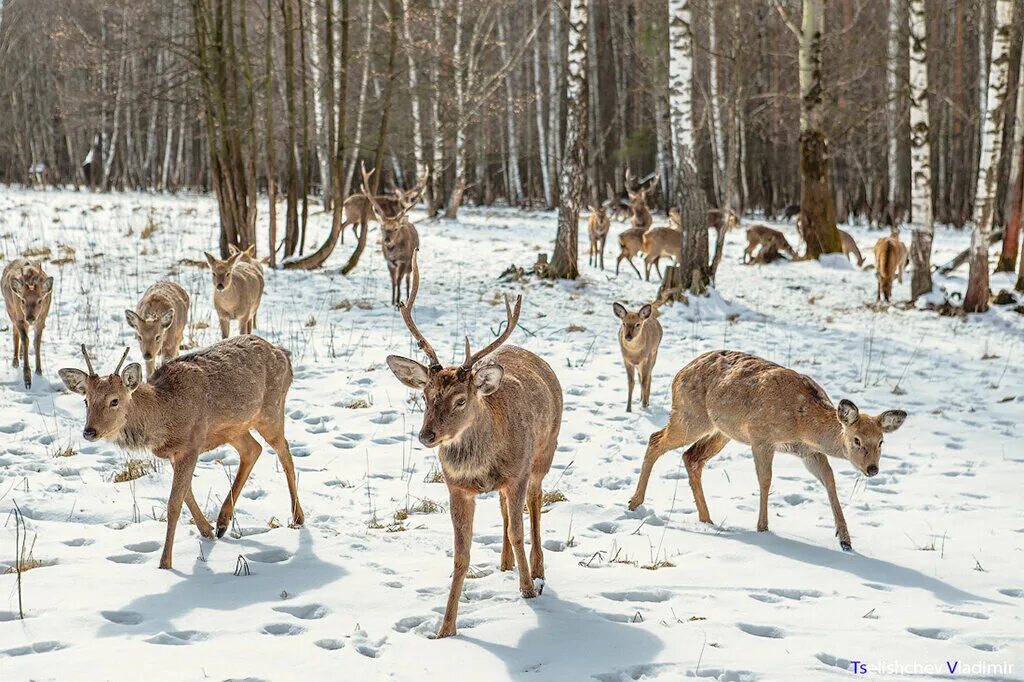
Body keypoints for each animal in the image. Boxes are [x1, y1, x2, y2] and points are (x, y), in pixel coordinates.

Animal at [1, 258, 52, 387]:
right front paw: (27, 379)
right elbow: (25, 340)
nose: (30, 317)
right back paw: (15, 361)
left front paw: (39, 371)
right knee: (15, 332)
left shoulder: (42, 318)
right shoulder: (19, 318)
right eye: (23, 300)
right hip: (11, 310)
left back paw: (21, 355)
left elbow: (36, 342)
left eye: (40, 300)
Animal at [58, 335, 303, 569]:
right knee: (253, 449)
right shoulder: (175, 453)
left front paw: (165, 563)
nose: (89, 431)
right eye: (86, 400)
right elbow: (187, 493)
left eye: (114, 401)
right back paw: (222, 522)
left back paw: (298, 517)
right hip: (234, 428)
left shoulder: (191, 444)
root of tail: (284, 354)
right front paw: (207, 530)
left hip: (272, 409)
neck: (164, 416)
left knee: (285, 453)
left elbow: (174, 503)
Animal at [360, 160, 428, 303]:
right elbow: (393, 281)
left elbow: (399, 279)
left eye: (396, 228)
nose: (387, 242)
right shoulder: (389, 262)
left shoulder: (404, 261)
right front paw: (392, 300)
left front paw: (397, 301)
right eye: (382, 227)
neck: (394, 255)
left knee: (408, 279)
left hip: (411, 262)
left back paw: (406, 296)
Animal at [385, 250, 565, 638]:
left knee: (535, 504)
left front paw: (528, 590)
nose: (427, 436)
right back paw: (505, 563)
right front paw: (445, 627)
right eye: (425, 395)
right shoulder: (456, 487)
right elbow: (461, 554)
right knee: (503, 507)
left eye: (460, 400)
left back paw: (537, 569)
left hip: (545, 451)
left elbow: (517, 530)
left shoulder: (518, 473)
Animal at [626, 348, 909, 548]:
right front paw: (763, 527)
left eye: (881, 441)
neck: (802, 422)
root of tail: (678, 375)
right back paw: (634, 503)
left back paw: (707, 519)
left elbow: (829, 480)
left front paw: (845, 540)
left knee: (691, 457)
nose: (872, 469)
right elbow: (765, 480)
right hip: (690, 415)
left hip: (722, 431)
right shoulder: (761, 437)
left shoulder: (809, 452)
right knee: (655, 440)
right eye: (857, 440)